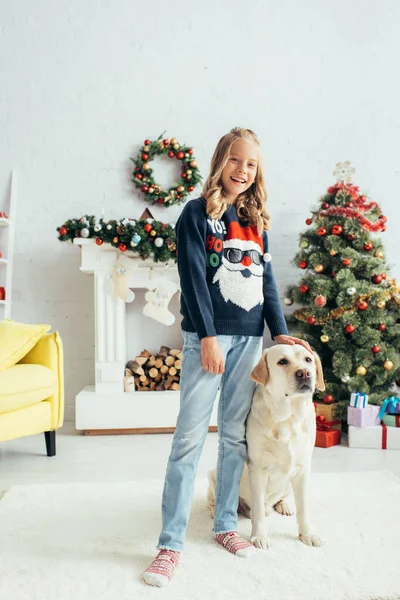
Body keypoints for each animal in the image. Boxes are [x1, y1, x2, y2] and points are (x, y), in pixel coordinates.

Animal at [208, 344, 326, 552]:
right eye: (282, 361)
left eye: (308, 360)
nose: (304, 373)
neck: (288, 418)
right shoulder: (258, 470)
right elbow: (258, 512)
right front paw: (259, 537)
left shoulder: (303, 469)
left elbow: (303, 508)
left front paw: (308, 535)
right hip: (214, 475)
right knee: (216, 500)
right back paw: (216, 511)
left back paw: (284, 506)